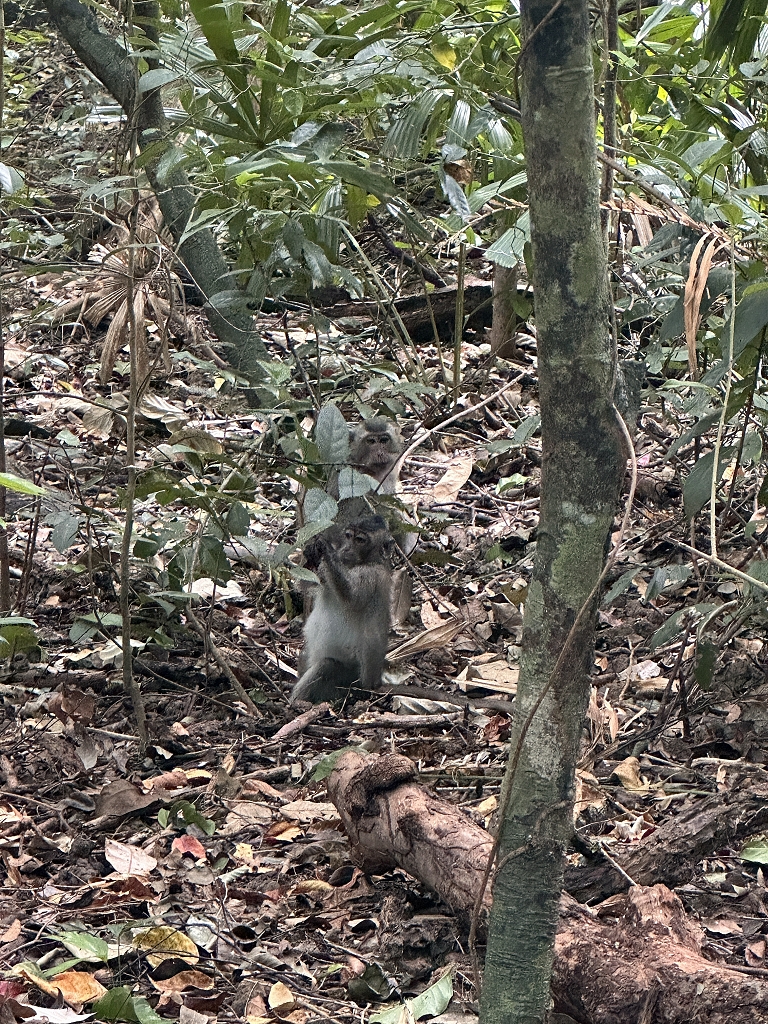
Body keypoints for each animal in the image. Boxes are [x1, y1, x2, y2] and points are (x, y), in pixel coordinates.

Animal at [291, 516, 393, 705]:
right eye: (348, 536)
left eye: (359, 540)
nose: (345, 549)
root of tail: (374, 684)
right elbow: (307, 584)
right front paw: (310, 551)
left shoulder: (371, 574)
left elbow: (351, 597)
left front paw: (328, 551)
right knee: (306, 654)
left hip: (347, 681)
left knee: (327, 665)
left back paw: (297, 703)